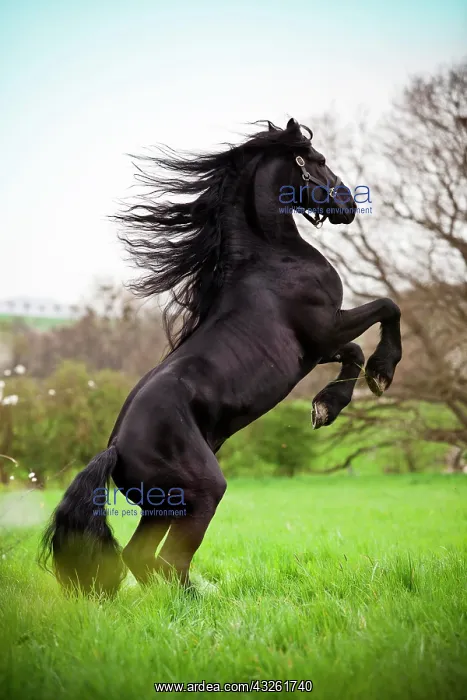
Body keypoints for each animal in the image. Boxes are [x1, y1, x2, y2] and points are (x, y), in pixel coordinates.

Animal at [40, 118, 402, 595]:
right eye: (319, 160)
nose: (348, 204)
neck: (273, 258)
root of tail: (115, 448)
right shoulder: (325, 329)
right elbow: (387, 308)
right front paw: (381, 374)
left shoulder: (319, 347)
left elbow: (356, 351)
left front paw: (326, 406)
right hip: (202, 492)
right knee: (169, 561)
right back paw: (199, 600)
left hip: (164, 506)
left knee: (143, 558)